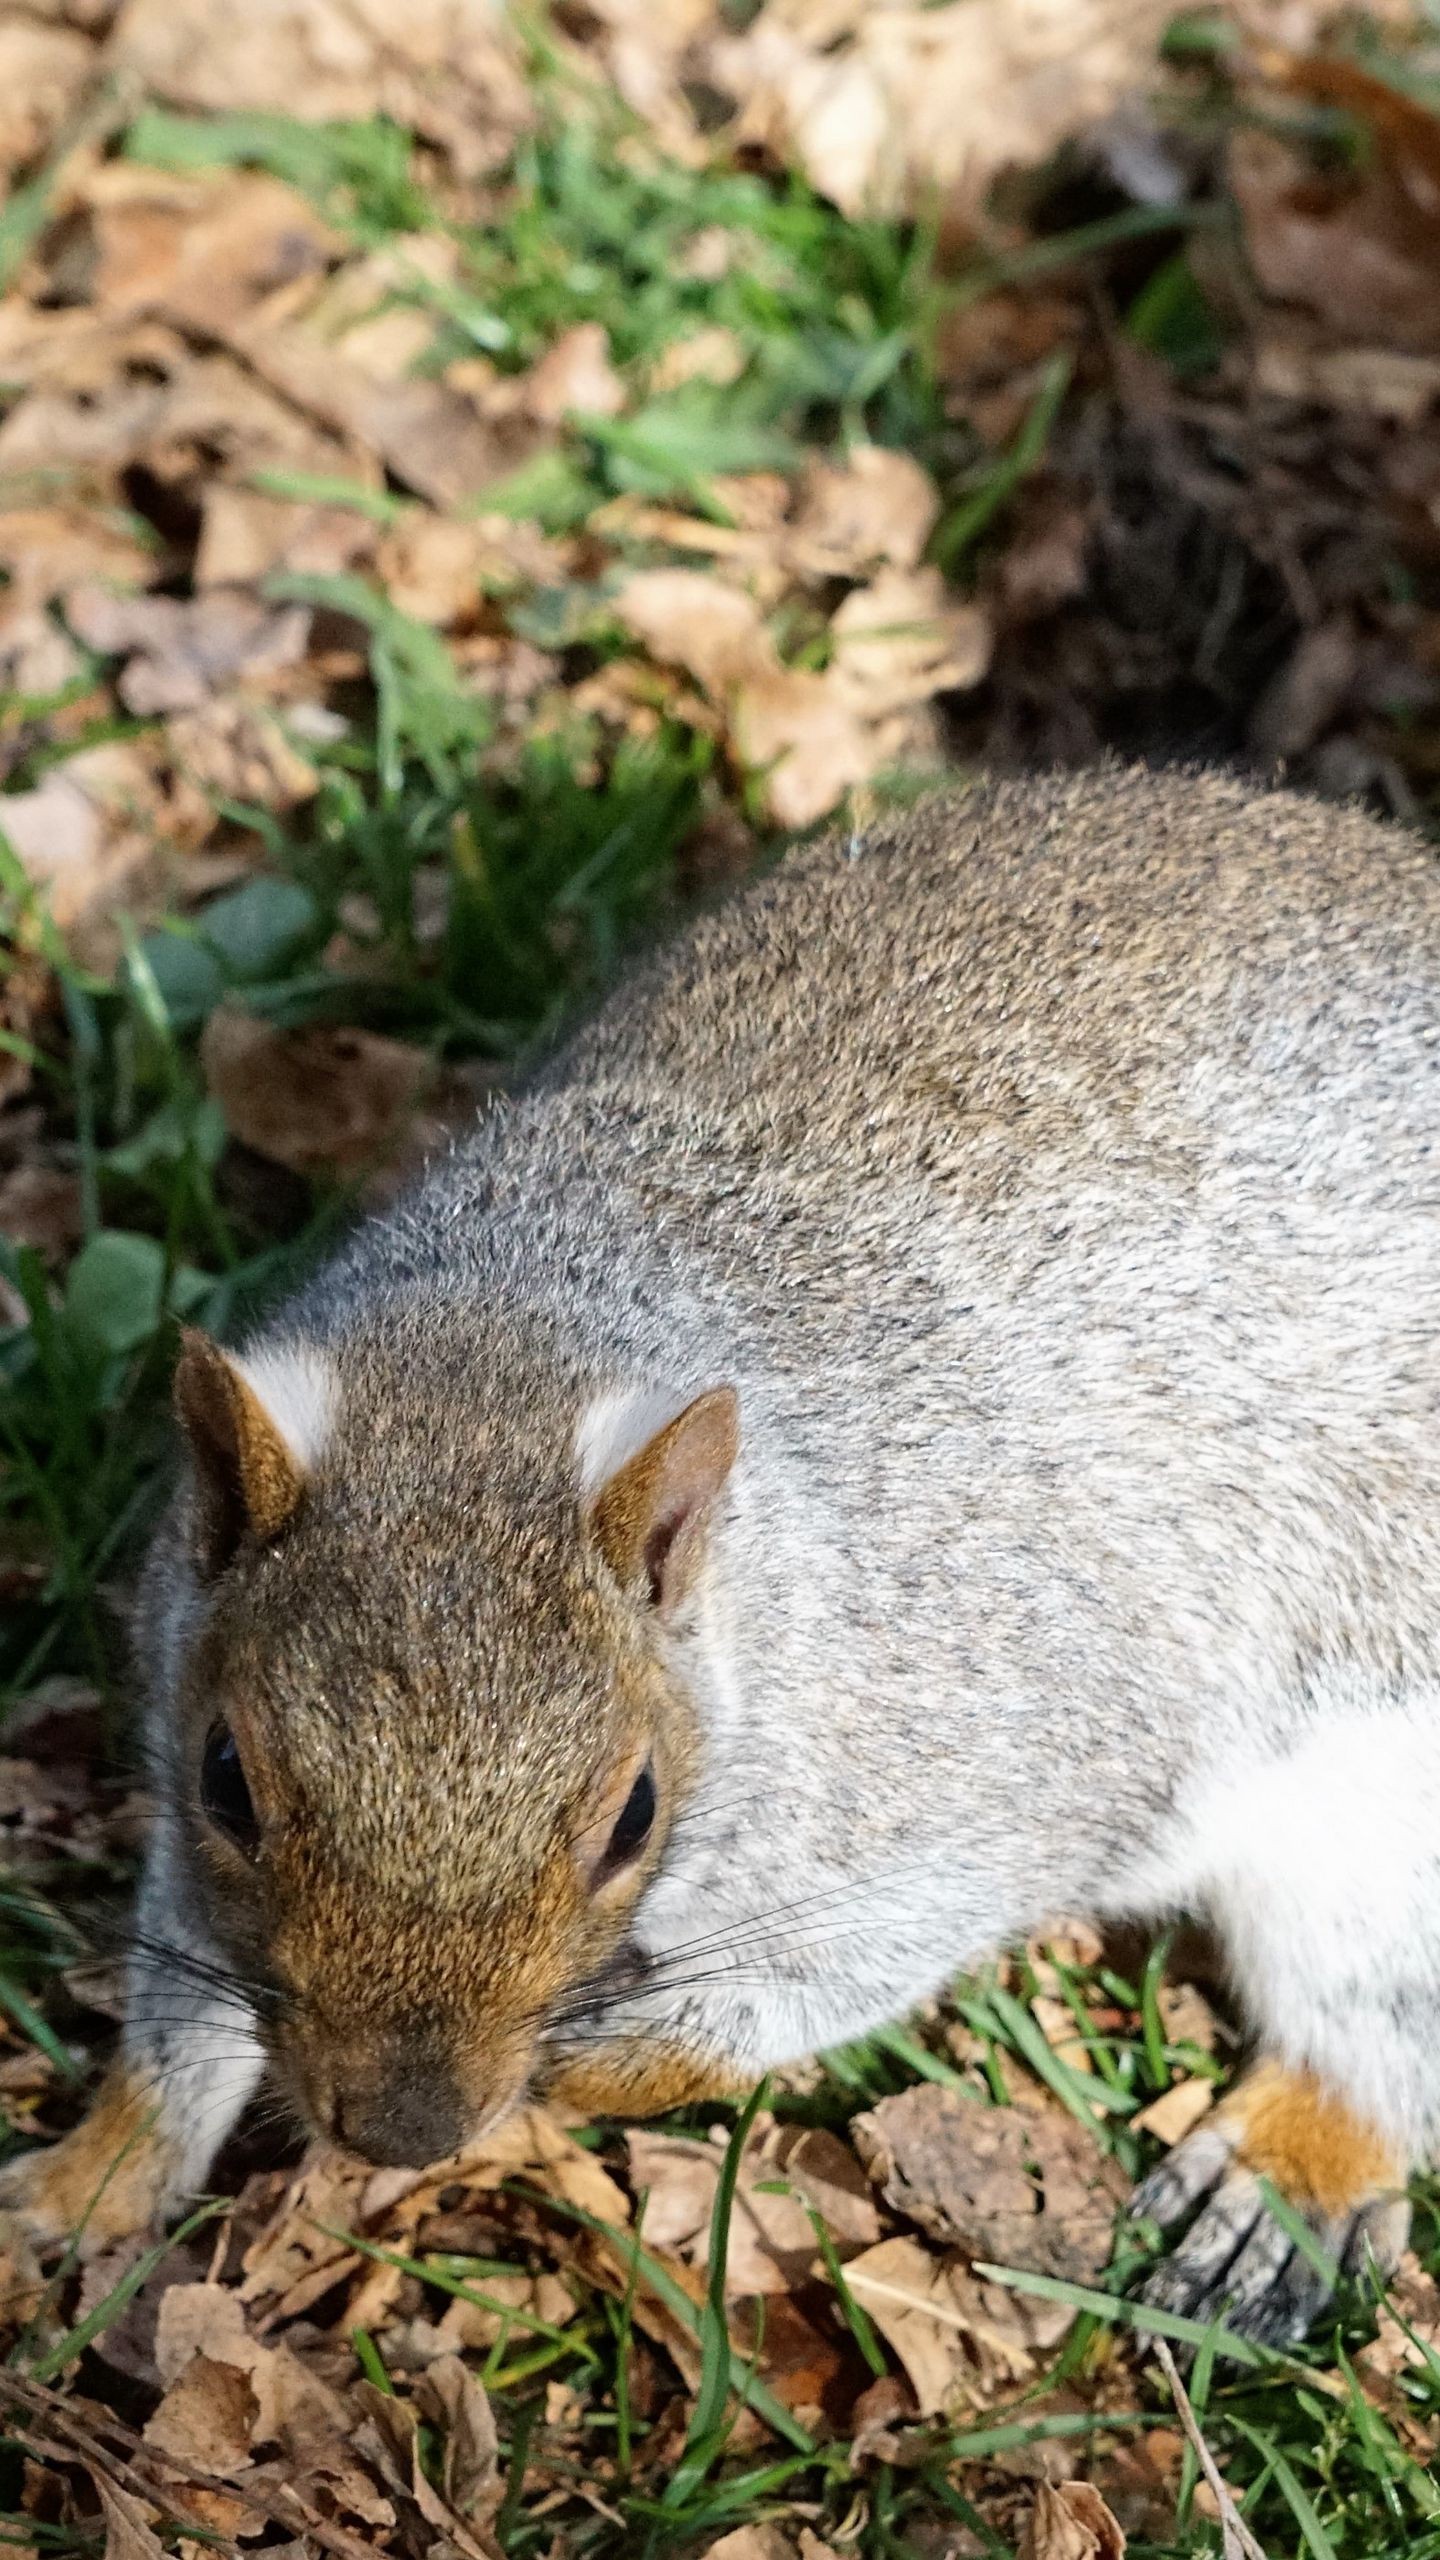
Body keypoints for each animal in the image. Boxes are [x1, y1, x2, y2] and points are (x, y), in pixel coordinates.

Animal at [2, 757, 1434, 2344]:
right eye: (227, 1781)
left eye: (635, 1814)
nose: (404, 2129)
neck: (505, 1353)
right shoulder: (176, 1673)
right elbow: (185, 1983)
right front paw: (91, 2175)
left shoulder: (997, 1762)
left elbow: (857, 1955)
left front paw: (613, 2060)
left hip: (1385, 1785)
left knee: (1377, 2006)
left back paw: (1289, 2174)